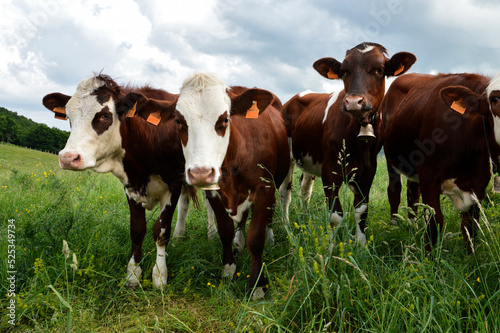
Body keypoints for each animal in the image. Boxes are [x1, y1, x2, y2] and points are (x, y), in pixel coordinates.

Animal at [40, 72, 209, 288]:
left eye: (104, 115)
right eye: (69, 117)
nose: (68, 158)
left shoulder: (173, 184)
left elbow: (161, 232)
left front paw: (159, 275)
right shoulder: (130, 186)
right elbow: (137, 230)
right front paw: (133, 273)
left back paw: (212, 234)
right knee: (185, 204)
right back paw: (180, 235)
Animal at [125, 72, 290, 298]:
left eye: (225, 119)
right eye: (178, 121)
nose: (200, 172)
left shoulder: (264, 190)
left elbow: (256, 238)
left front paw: (257, 285)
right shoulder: (215, 193)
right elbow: (225, 230)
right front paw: (228, 269)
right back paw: (238, 245)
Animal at [282, 42, 418, 243]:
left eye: (379, 70)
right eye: (344, 71)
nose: (354, 101)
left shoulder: (368, 170)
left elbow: (361, 210)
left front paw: (361, 244)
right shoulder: (330, 170)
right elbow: (335, 214)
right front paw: (331, 245)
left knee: (305, 187)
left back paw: (304, 216)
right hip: (287, 156)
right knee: (286, 192)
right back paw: (286, 225)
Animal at [378, 72, 500, 249]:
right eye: (495, 99)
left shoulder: (479, 182)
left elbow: (470, 226)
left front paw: (469, 254)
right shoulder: (429, 176)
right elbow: (434, 222)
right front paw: (430, 254)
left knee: (412, 192)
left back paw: (412, 227)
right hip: (390, 156)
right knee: (394, 190)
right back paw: (395, 226)